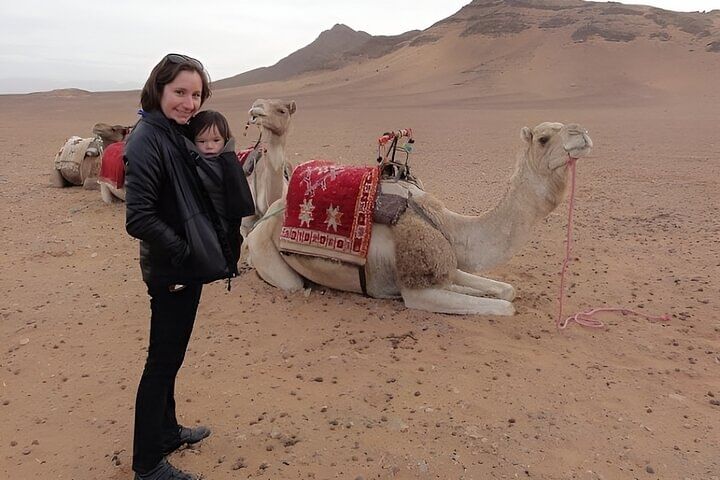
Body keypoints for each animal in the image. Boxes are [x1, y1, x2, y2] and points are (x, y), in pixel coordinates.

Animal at [244, 122, 593, 315]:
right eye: (543, 138)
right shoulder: (416, 291)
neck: (450, 224)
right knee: (294, 284)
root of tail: (266, 219)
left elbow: (506, 291)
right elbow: (506, 306)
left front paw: (484, 290)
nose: (583, 133)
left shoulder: (448, 264)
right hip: (269, 257)